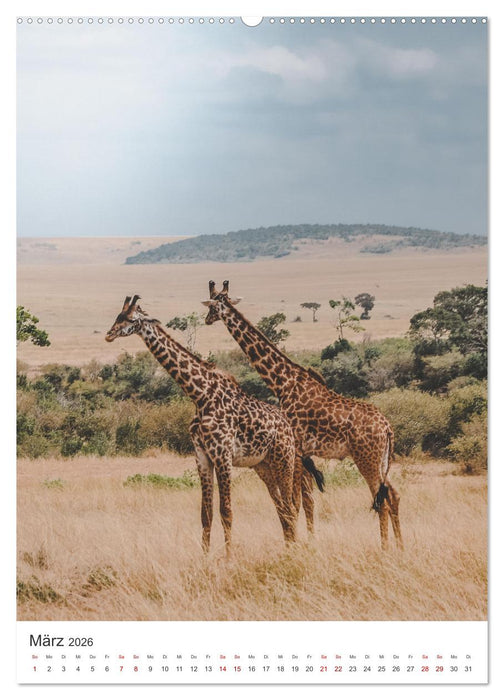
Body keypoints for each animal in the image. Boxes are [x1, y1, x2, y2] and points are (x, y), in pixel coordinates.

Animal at [105, 295, 298, 555]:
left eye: (131, 319)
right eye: (118, 315)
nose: (109, 334)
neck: (200, 395)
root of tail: (288, 427)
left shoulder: (223, 455)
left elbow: (226, 511)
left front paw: (228, 557)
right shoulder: (202, 456)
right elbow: (206, 514)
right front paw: (205, 557)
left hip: (284, 459)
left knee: (291, 507)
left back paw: (296, 550)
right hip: (263, 465)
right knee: (282, 508)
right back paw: (288, 549)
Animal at [202, 282, 403, 550]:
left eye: (213, 305)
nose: (206, 320)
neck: (282, 381)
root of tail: (387, 428)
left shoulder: (295, 448)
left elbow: (296, 502)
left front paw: (297, 544)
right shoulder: (303, 452)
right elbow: (306, 500)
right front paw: (308, 542)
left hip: (366, 459)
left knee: (380, 501)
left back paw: (384, 548)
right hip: (381, 460)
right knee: (393, 494)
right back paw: (400, 546)